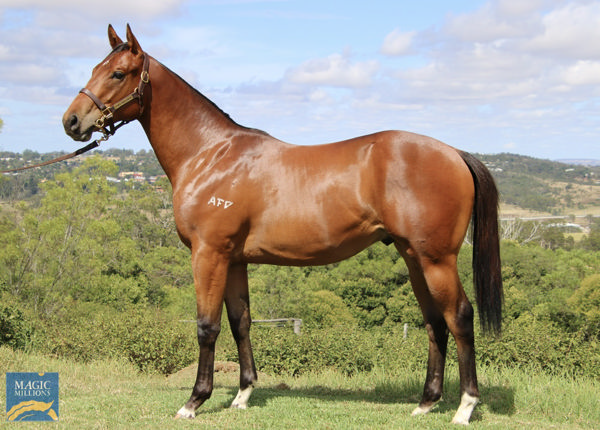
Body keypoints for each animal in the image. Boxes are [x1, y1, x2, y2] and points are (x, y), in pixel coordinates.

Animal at [62, 25, 502, 424]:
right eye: (95, 68)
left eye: (118, 73)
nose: (71, 121)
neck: (210, 154)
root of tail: (455, 153)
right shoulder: (234, 260)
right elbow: (240, 322)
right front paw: (243, 395)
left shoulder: (208, 254)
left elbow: (207, 326)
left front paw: (194, 401)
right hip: (413, 258)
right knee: (434, 323)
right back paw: (426, 403)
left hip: (436, 260)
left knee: (460, 317)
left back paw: (464, 407)